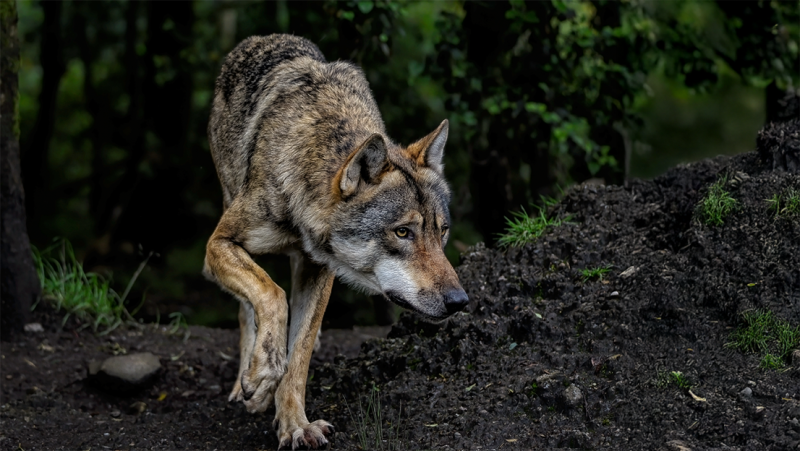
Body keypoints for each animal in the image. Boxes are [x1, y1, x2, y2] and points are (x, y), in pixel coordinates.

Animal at [203, 34, 468, 449]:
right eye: (402, 232)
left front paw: (294, 425)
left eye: (440, 231)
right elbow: (271, 295)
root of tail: (258, 40)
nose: (460, 301)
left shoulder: (319, 269)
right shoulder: (219, 243)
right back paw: (247, 379)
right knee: (248, 308)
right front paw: (262, 375)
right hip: (228, 204)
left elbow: (299, 354)